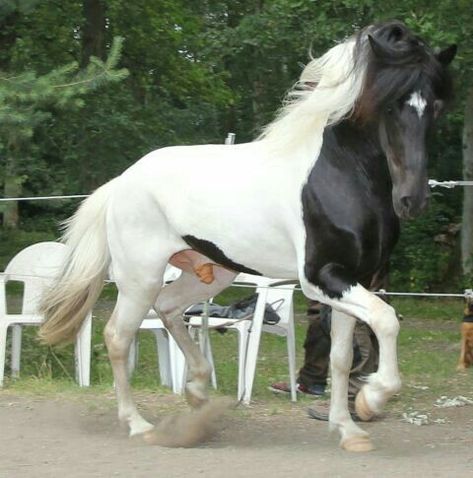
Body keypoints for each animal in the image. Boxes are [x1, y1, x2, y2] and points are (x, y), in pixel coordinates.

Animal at [39, 19, 454, 452]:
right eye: (390, 103)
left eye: (436, 106)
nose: (412, 200)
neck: (339, 174)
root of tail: (121, 181)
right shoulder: (322, 277)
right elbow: (387, 321)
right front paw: (372, 399)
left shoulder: (353, 280)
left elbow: (341, 358)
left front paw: (349, 430)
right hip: (141, 277)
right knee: (119, 336)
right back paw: (140, 425)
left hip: (210, 273)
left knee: (169, 308)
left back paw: (198, 392)